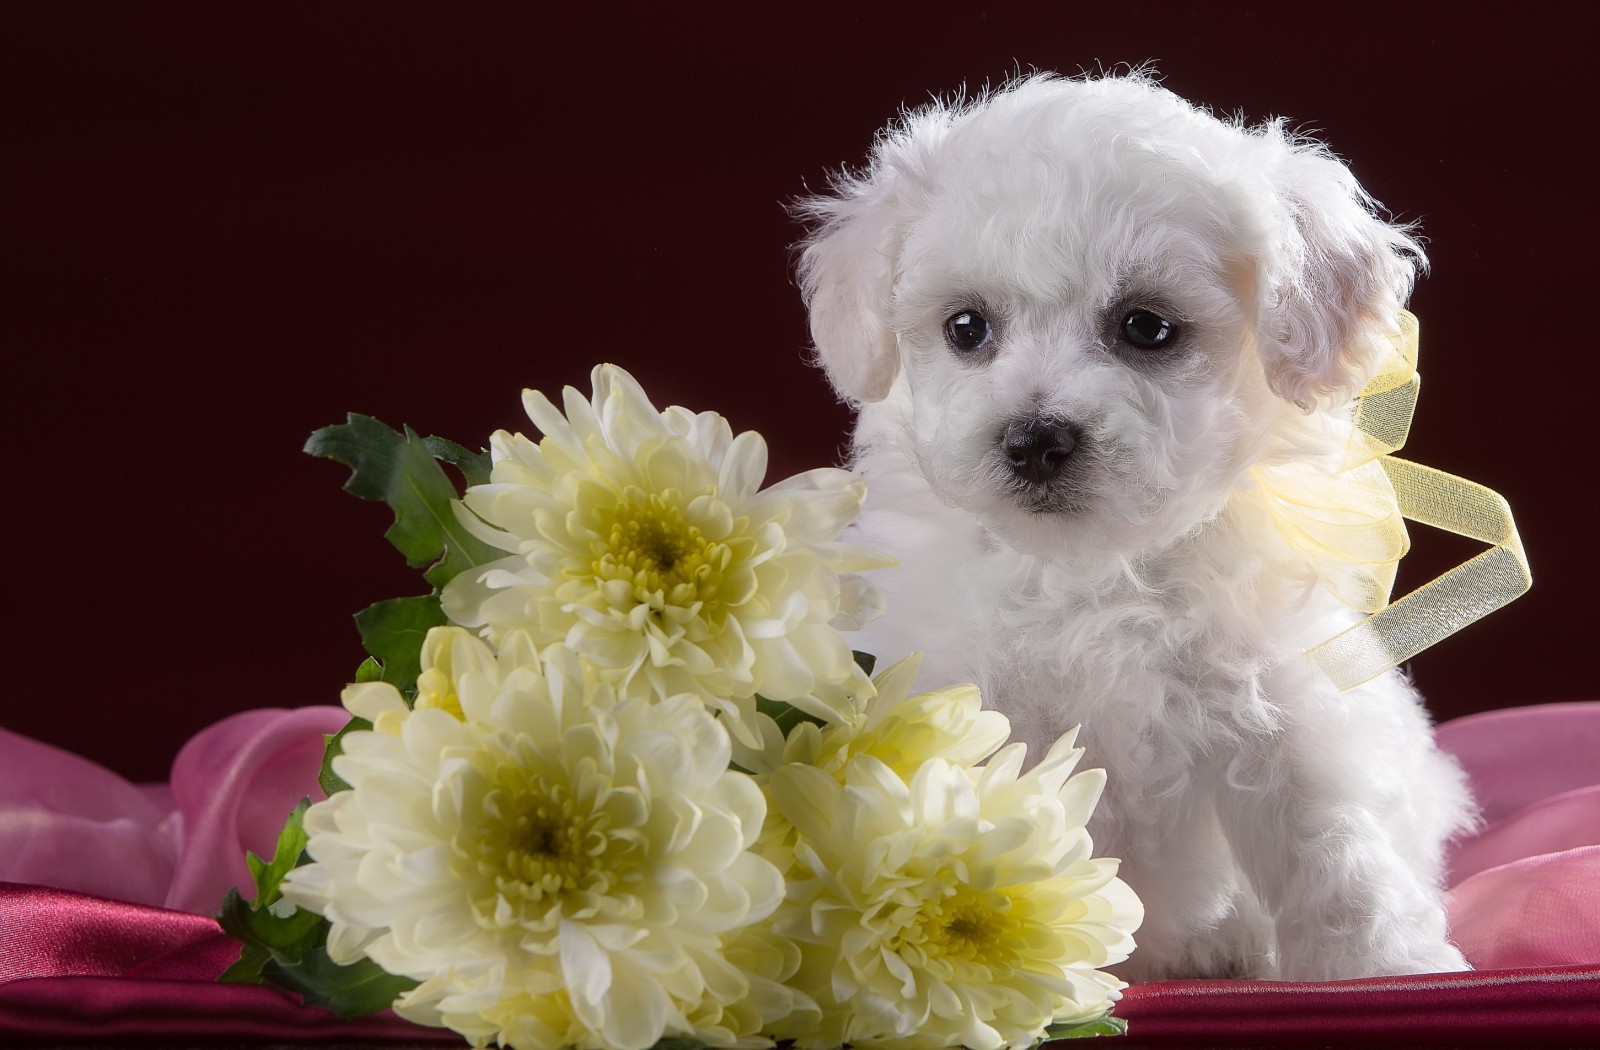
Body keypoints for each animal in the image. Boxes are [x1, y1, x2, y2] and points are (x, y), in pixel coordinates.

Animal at [800, 76, 1472, 985]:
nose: (1034, 439)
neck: (1088, 569)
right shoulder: (959, 696)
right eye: (967, 327)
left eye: (1147, 327)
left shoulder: (1284, 698)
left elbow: (1331, 842)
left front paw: (1381, 964)